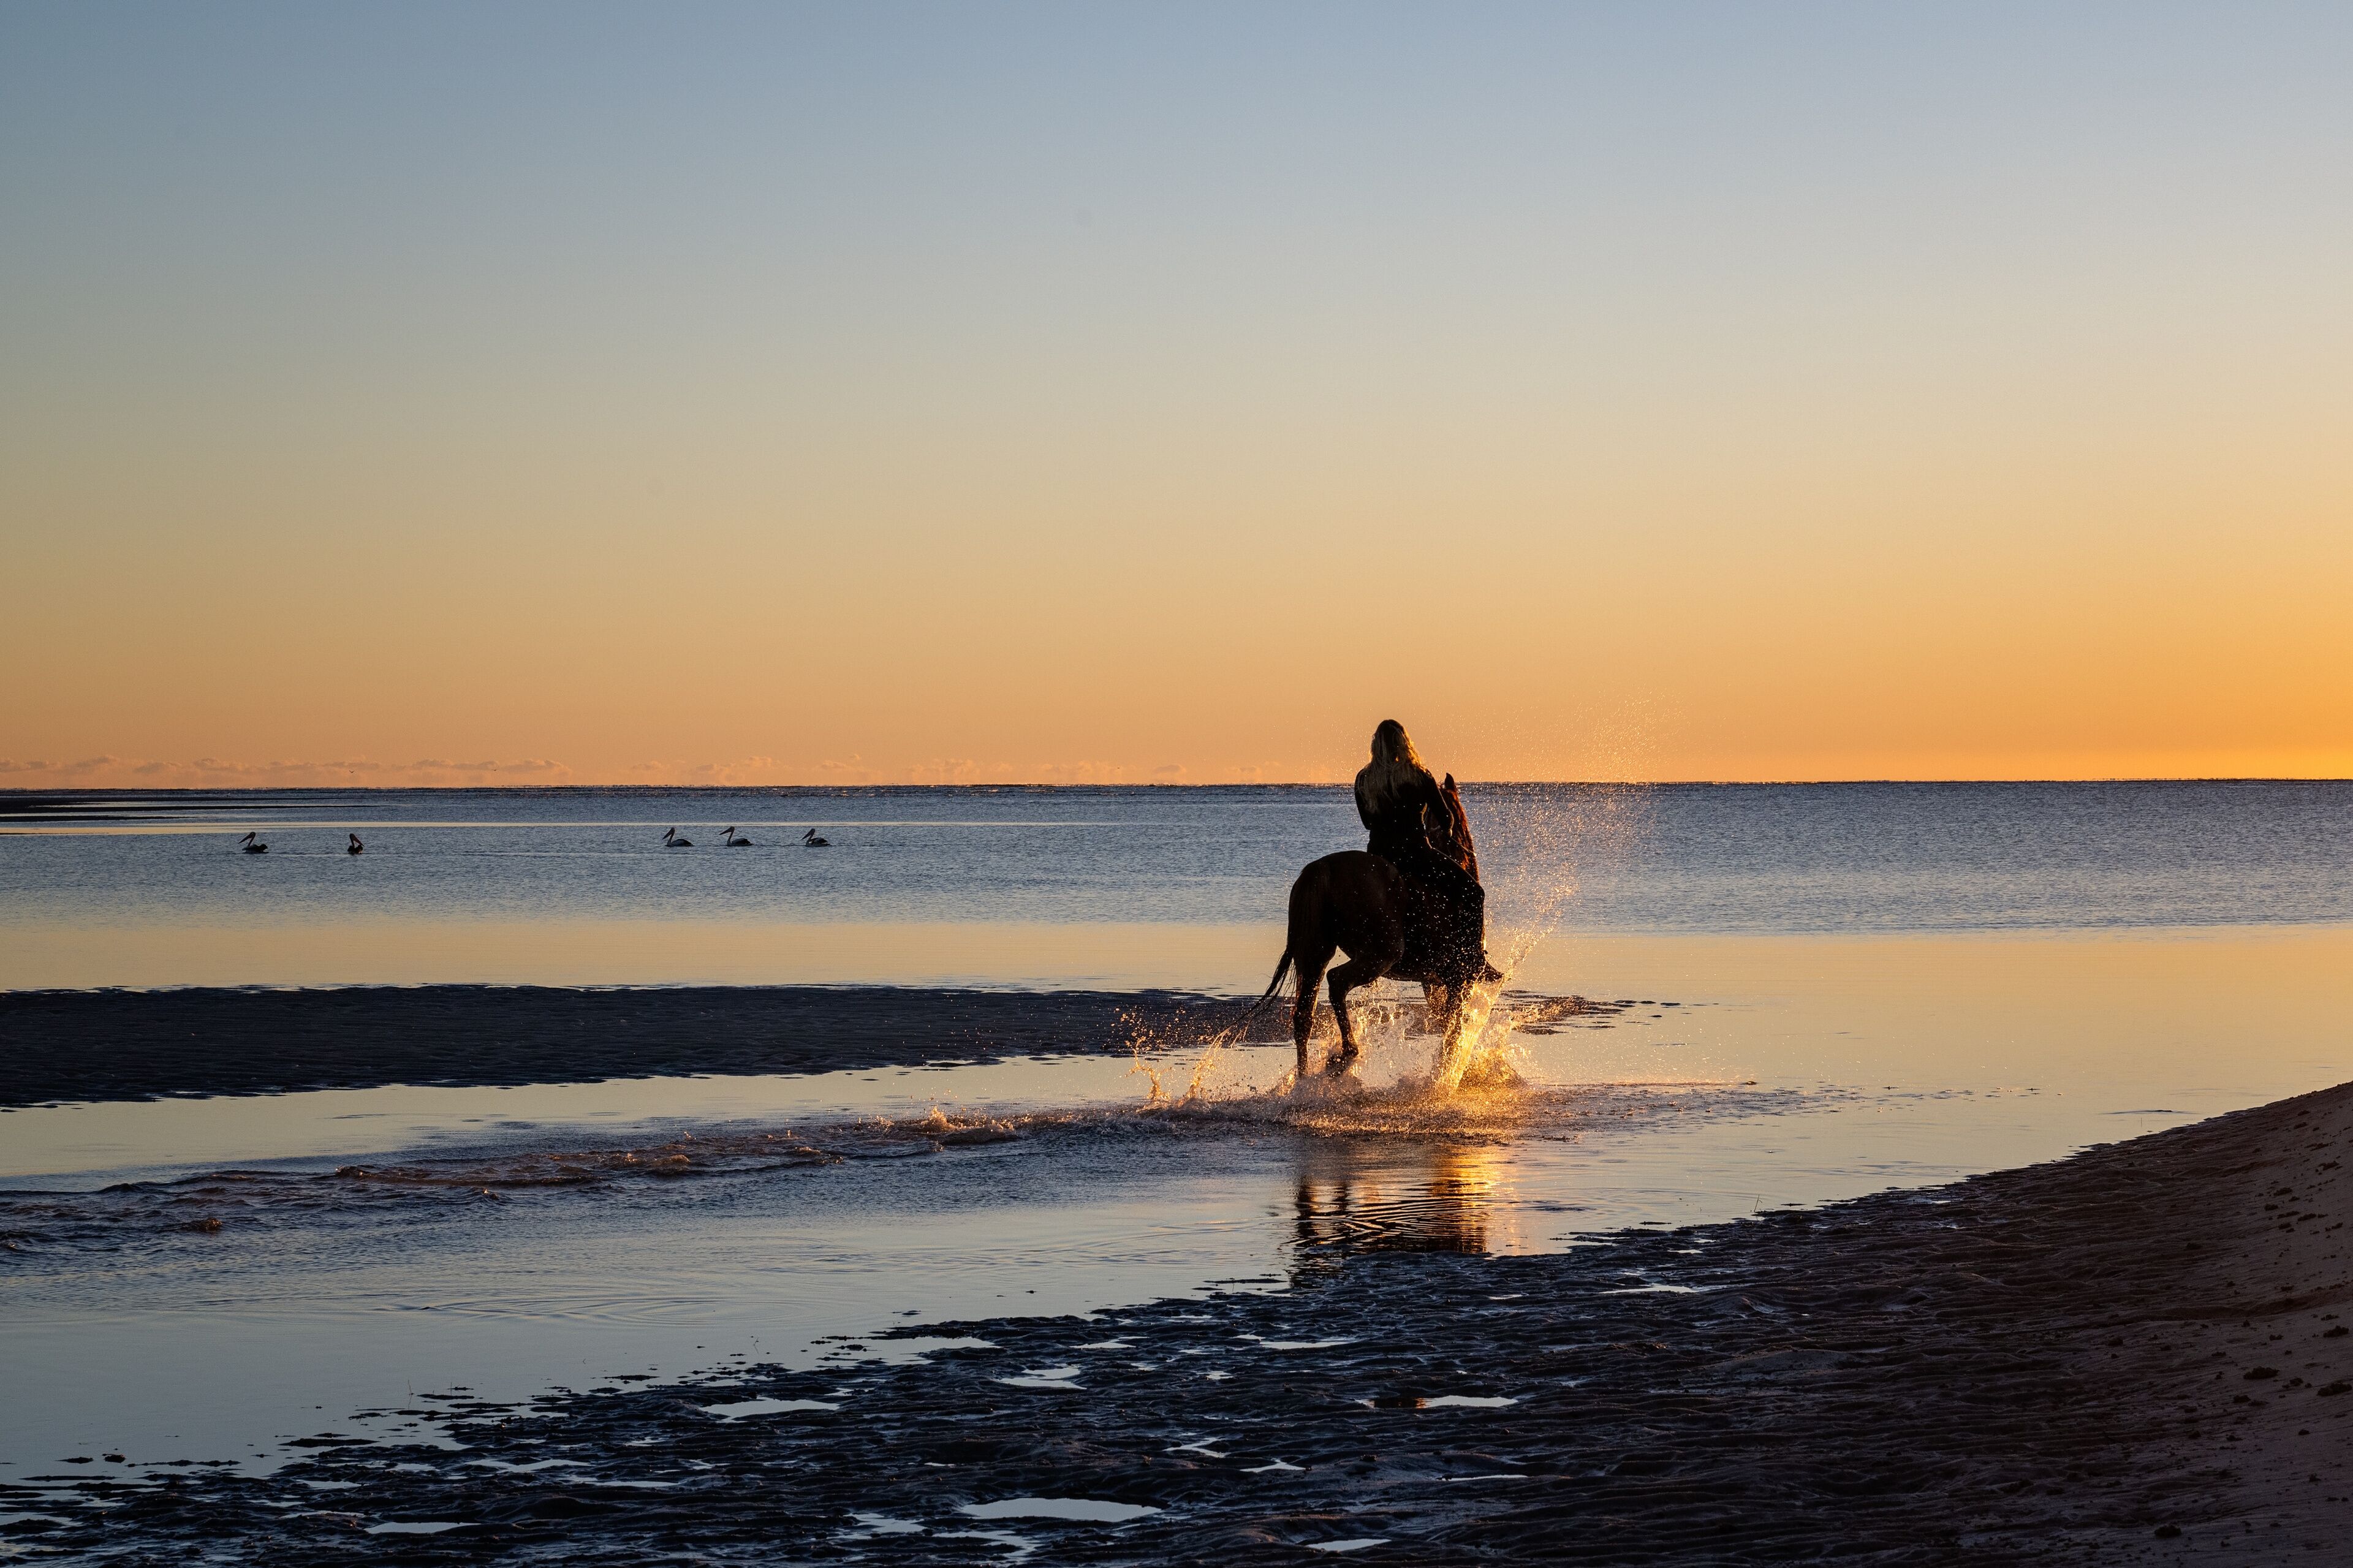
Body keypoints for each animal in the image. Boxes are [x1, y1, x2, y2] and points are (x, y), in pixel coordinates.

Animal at [1250, 774, 1490, 1080]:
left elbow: (1448, 1022)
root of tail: (1322, 869)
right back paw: (1347, 1053)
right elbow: (1454, 1029)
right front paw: (1446, 1075)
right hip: (1381, 955)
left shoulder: (1434, 981)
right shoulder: (1458, 979)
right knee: (1337, 982)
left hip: (1315, 955)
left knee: (1304, 1016)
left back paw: (1304, 1080)